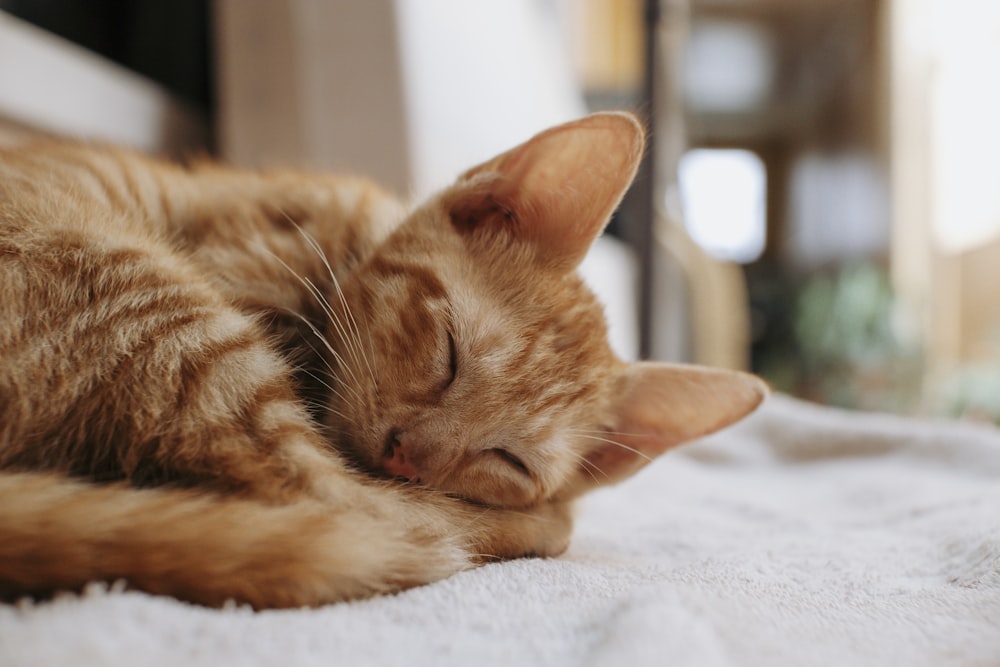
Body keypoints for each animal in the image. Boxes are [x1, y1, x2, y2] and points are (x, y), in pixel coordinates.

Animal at [0, 111, 764, 612]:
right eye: (449, 351)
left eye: (509, 461)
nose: (407, 454)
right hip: (160, 304)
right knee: (343, 500)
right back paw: (538, 528)